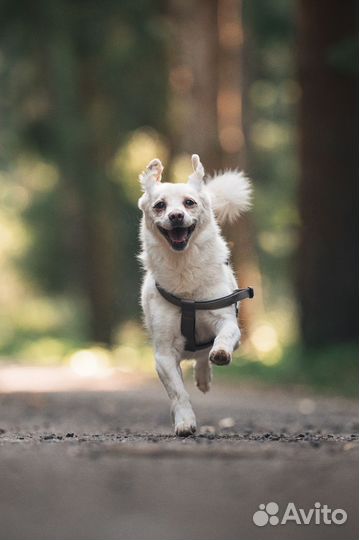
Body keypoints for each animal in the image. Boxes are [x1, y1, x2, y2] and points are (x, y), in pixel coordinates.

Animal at [138, 153, 253, 434]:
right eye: (160, 205)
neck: (184, 270)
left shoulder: (227, 321)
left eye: (189, 203)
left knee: (203, 355)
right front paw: (184, 422)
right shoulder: (164, 355)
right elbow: (178, 392)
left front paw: (220, 353)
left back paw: (204, 375)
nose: (176, 216)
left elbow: (223, 337)